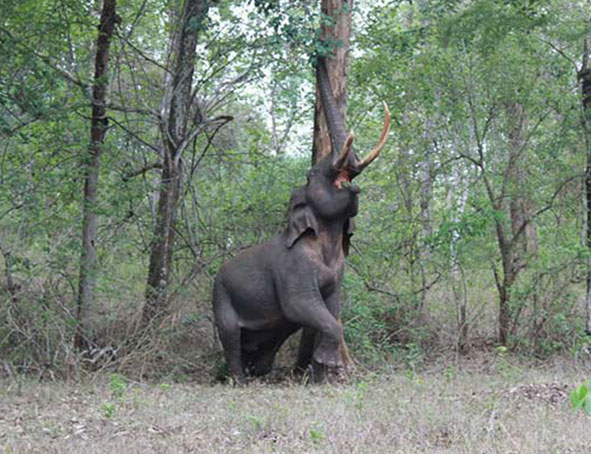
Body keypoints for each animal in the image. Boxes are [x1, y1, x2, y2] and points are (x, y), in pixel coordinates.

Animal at [214, 57, 394, 384]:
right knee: (230, 337)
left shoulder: (337, 273)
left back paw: (260, 373)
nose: (316, 56)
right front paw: (328, 367)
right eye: (310, 175)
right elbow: (301, 306)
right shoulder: (292, 269)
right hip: (220, 296)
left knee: (266, 343)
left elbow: (331, 307)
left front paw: (320, 372)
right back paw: (239, 381)